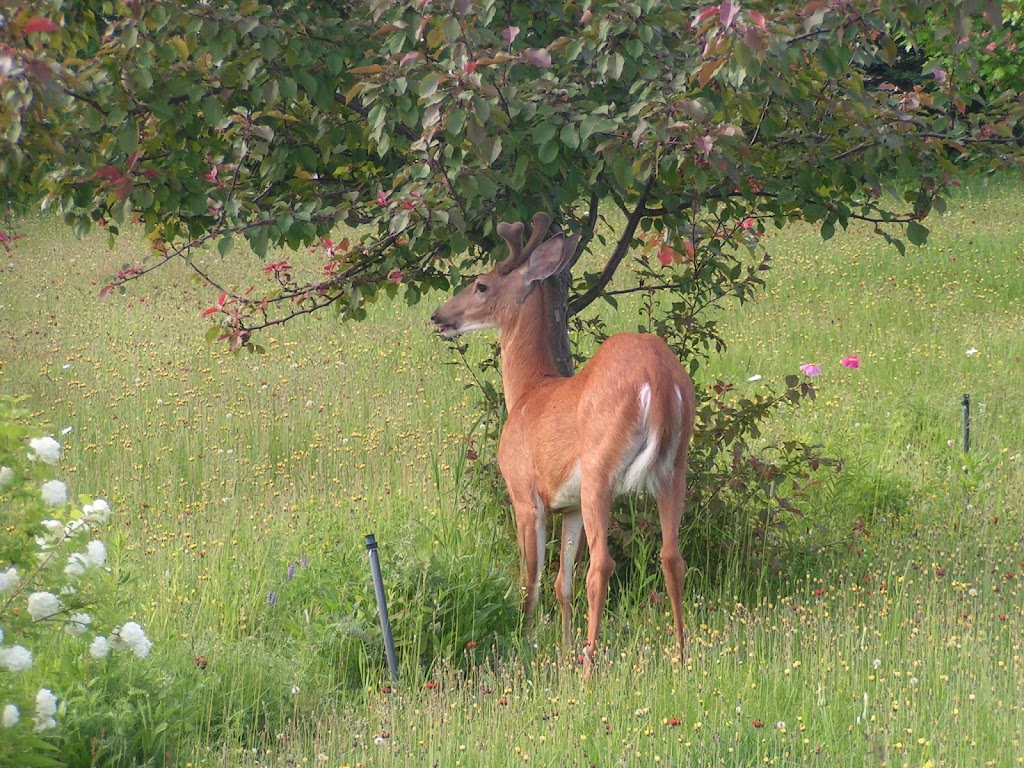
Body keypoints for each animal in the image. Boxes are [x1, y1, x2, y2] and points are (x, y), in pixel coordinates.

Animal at [432, 214, 696, 675]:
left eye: (481, 284)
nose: (438, 316)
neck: (526, 392)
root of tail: (658, 377)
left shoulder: (524, 492)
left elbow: (532, 581)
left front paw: (527, 645)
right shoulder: (568, 505)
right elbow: (561, 582)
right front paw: (562, 645)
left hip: (599, 468)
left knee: (602, 566)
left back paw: (590, 667)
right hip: (674, 464)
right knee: (671, 555)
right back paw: (681, 659)